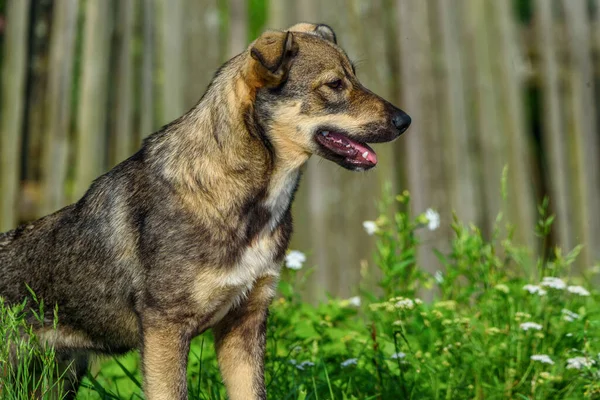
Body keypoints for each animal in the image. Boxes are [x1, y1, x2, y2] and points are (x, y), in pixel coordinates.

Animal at [0, 22, 410, 400]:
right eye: (335, 84)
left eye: (354, 76)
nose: (404, 121)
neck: (242, 197)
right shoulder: (165, 328)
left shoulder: (245, 322)